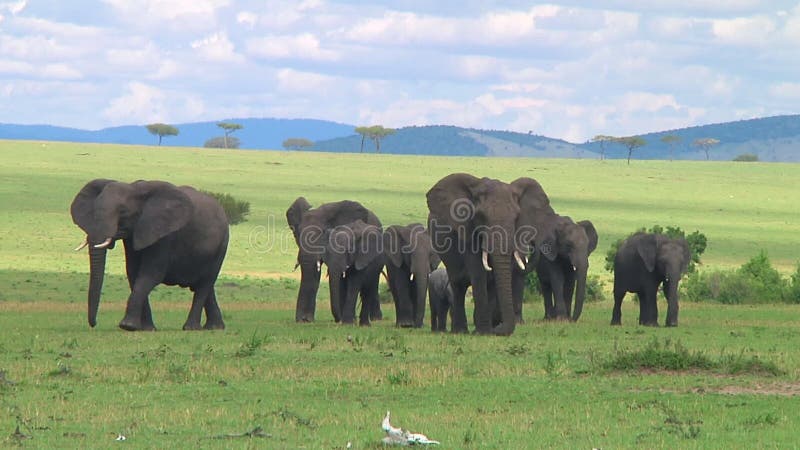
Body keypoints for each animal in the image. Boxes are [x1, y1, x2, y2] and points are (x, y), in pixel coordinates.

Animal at [69, 178, 228, 330]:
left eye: (123, 212)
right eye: (93, 212)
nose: (94, 324)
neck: (134, 189)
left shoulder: (164, 234)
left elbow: (150, 274)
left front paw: (127, 326)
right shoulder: (133, 234)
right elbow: (133, 273)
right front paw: (146, 329)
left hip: (221, 246)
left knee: (204, 284)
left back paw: (191, 328)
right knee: (205, 286)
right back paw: (214, 327)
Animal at [424, 174, 556, 336]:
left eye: (516, 217)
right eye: (481, 216)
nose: (498, 328)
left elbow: (493, 280)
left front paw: (489, 330)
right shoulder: (468, 230)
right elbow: (478, 272)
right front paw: (483, 332)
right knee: (458, 285)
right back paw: (460, 331)